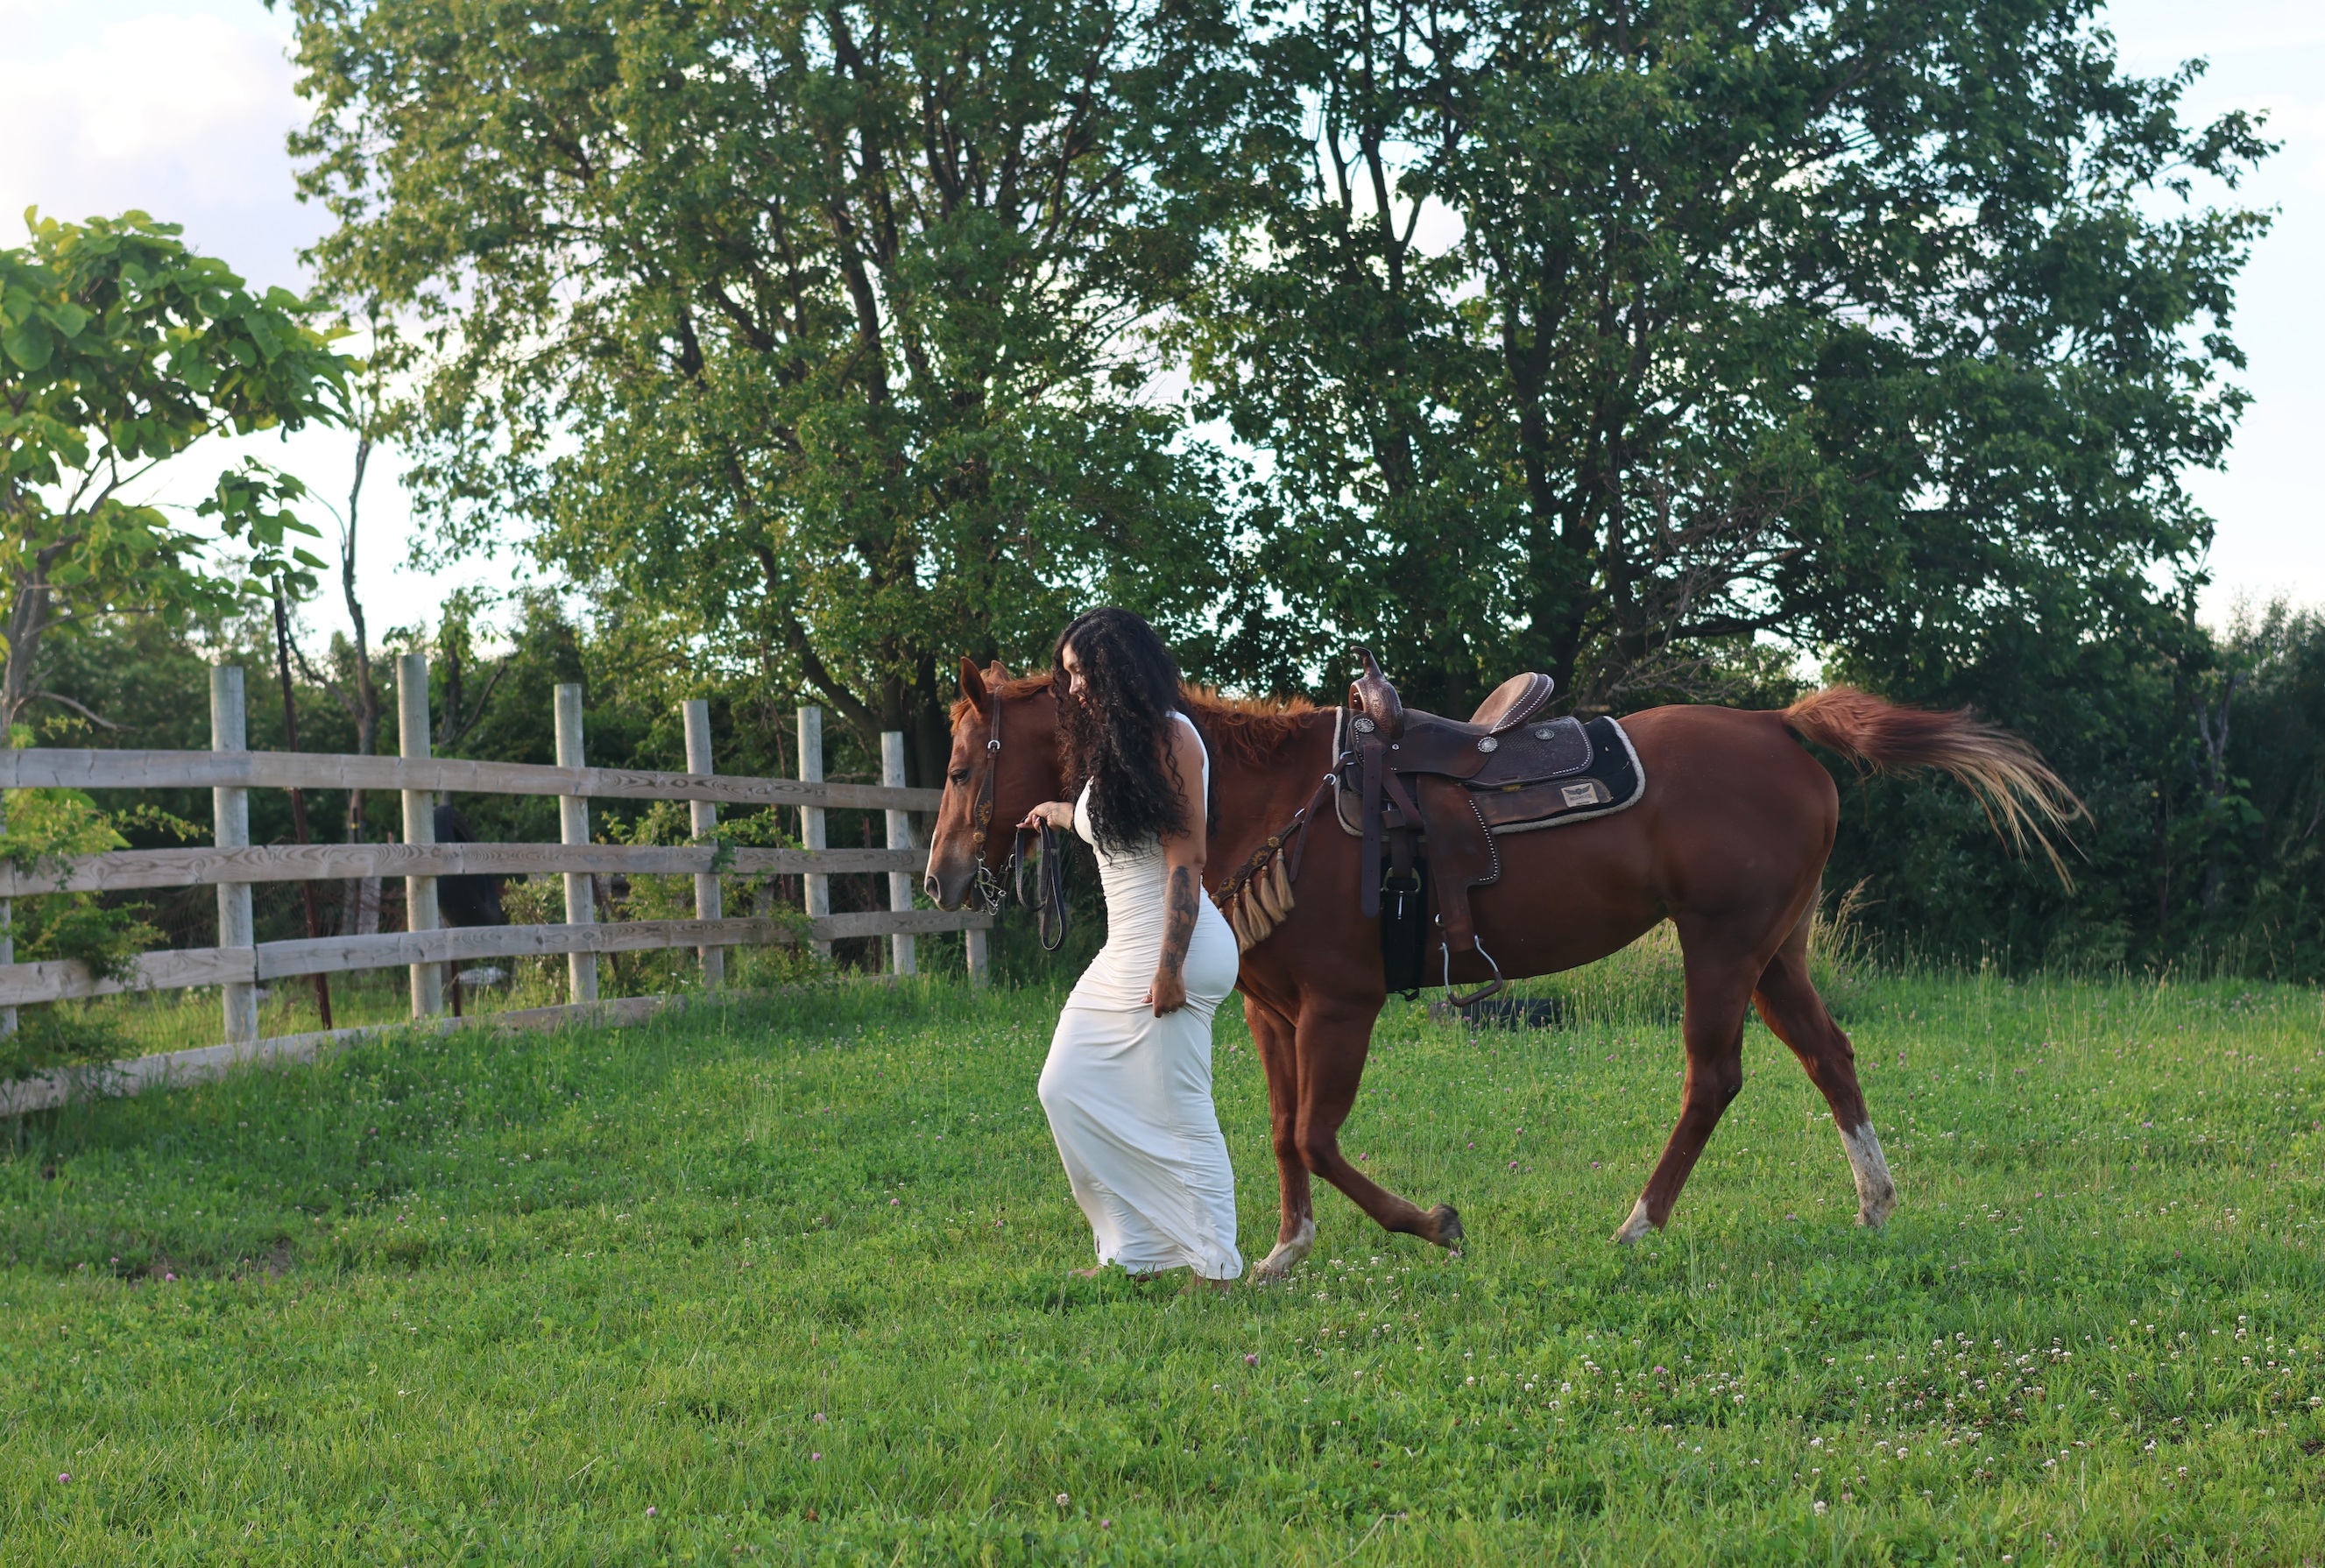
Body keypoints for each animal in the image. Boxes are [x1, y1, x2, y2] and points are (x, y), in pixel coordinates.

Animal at [923, 661, 2077, 1279]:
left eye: (962, 762)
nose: (938, 876)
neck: (1272, 799)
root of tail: (1775, 722)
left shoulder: (1341, 1006)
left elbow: (1317, 1136)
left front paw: (1430, 1222)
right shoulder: (1271, 1013)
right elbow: (1284, 1134)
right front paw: (1288, 1250)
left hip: (1719, 943)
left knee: (1712, 1078)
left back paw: (1639, 1221)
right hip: (1772, 949)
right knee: (1827, 1057)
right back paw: (1873, 1202)